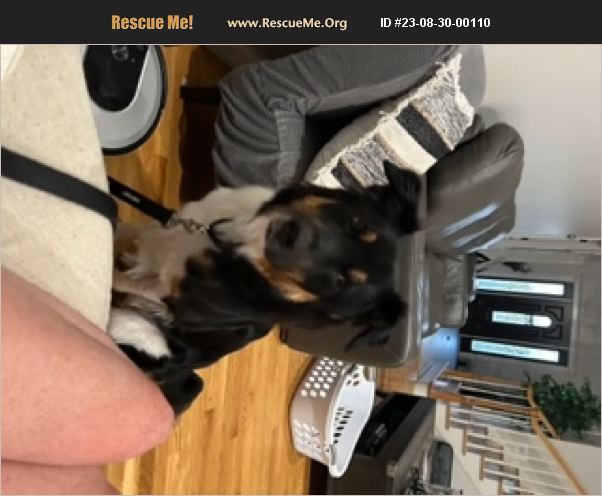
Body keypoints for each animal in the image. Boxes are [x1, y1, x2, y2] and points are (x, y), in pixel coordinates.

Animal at [108, 160, 421, 414]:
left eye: (338, 283)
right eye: (355, 223)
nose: (291, 235)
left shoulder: (168, 293)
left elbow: (117, 275)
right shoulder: (175, 226)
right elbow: (134, 230)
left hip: (141, 331)